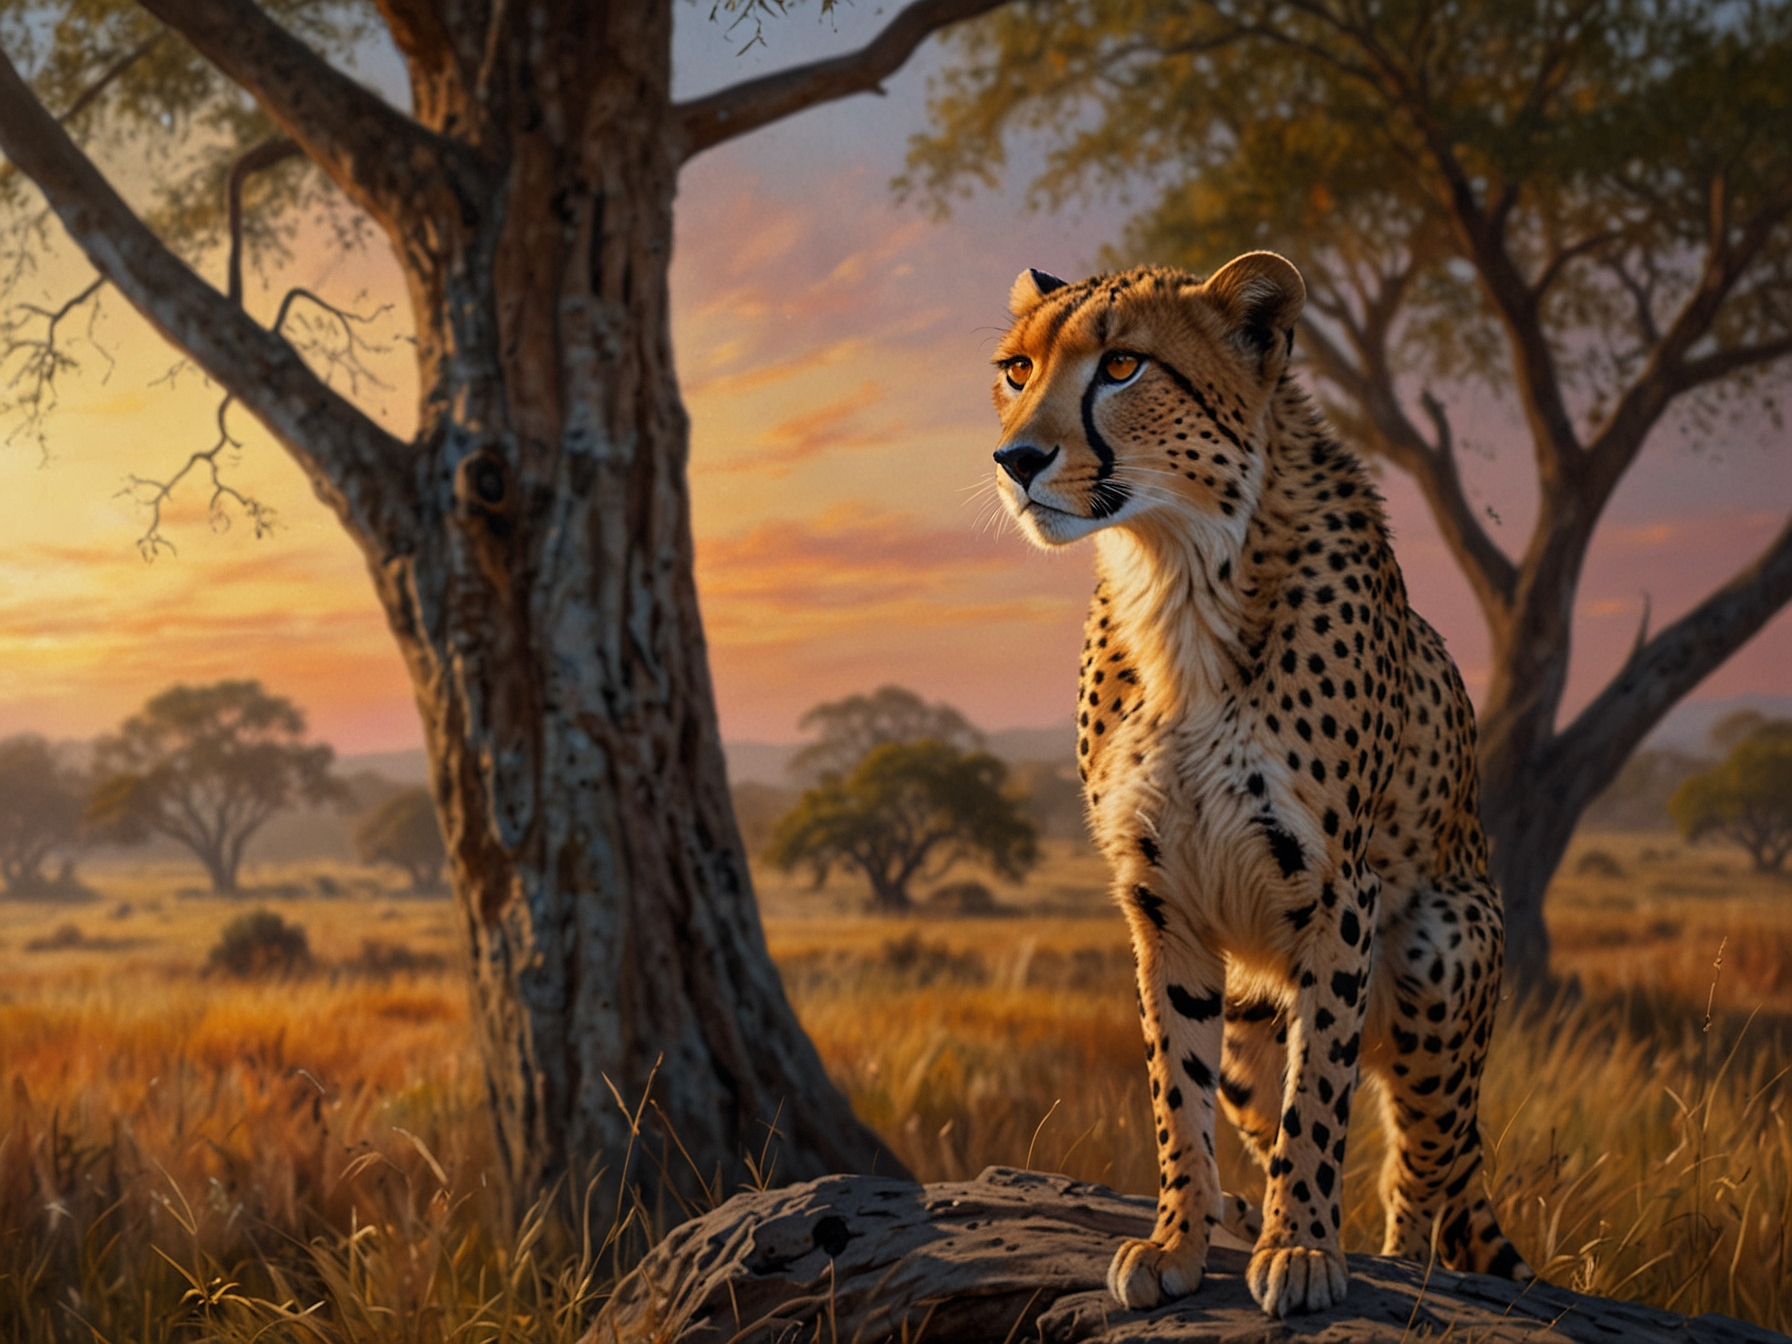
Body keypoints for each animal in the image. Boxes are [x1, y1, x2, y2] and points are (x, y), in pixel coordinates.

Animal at [986, 252, 1533, 1318]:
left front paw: (1303, 1249)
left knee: (1426, 1161)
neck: (1176, 571)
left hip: (1443, 961)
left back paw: (1397, 1261)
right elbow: (1176, 1090)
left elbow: (1317, 1098)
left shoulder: (1337, 891)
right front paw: (1179, 1237)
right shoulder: (1162, 900)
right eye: (1017, 369)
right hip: (1251, 1014)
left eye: (1123, 364)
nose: (1016, 459)